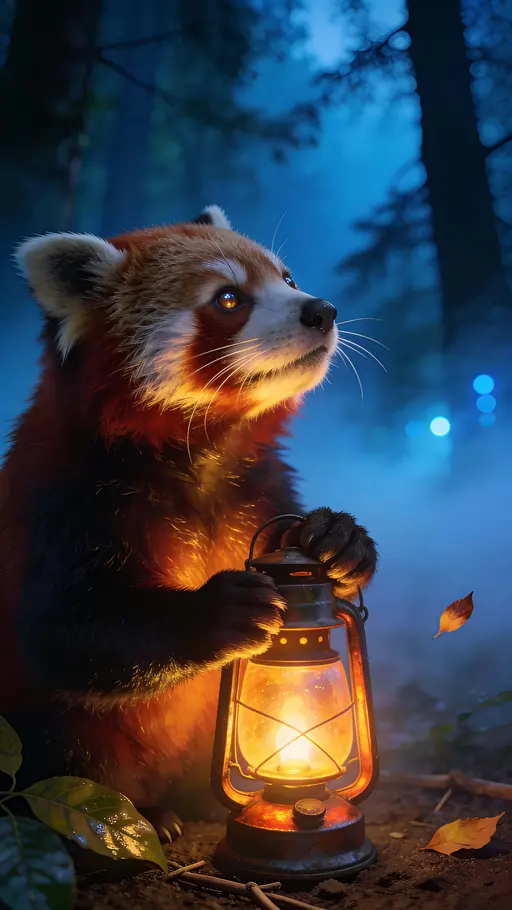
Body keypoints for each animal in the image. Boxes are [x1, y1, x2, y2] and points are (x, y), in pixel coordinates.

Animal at [0, 205, 377, 835]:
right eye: (228, 299)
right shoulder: (62, 501)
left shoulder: (261, 486)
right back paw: (146, 813)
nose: (322, 310)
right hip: (55, 734)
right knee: (71, 742)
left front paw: (338, 541)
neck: (200, 456)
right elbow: (60, 633)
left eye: (289, 278)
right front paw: (218, 612)